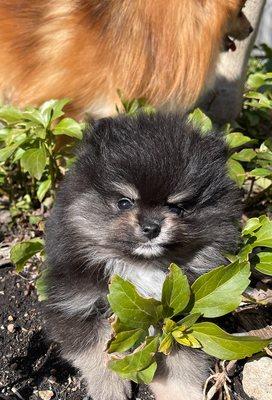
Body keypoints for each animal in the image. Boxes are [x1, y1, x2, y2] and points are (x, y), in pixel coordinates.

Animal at [45, 113, 242, 400]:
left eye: (177, 207)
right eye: (124, 202)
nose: (151, 227)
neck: (139, 266)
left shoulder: (178, 315)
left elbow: (180, 361)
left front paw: (183, 393)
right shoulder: (76, 305)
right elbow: (97, 351)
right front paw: (110, 389)